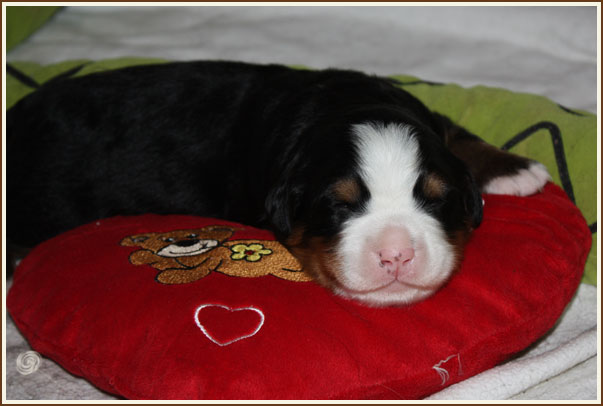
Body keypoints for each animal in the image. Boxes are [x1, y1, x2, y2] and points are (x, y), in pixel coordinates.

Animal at [6, 61, 550, 305]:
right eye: (338, 206)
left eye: (437, 200)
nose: (395, 254)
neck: (341, 105)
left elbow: (453, 130)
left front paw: (511, 167)